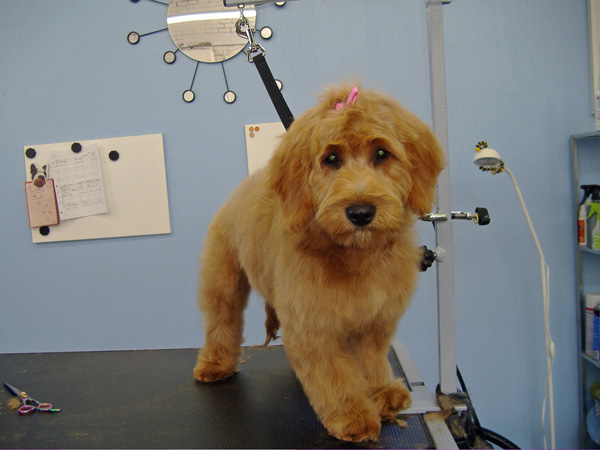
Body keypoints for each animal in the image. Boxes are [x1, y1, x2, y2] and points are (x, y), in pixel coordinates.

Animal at [193, 84, 445, 442]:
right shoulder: (314, 326)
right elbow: (333, 374)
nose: (360, 212)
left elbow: (371, 360)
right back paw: (215, 364)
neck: (354, 254)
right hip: (223, 280)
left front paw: (381, 391)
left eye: (382, 154)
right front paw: (353, 414)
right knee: (222, 321)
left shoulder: (375, 320)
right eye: (331, 159)